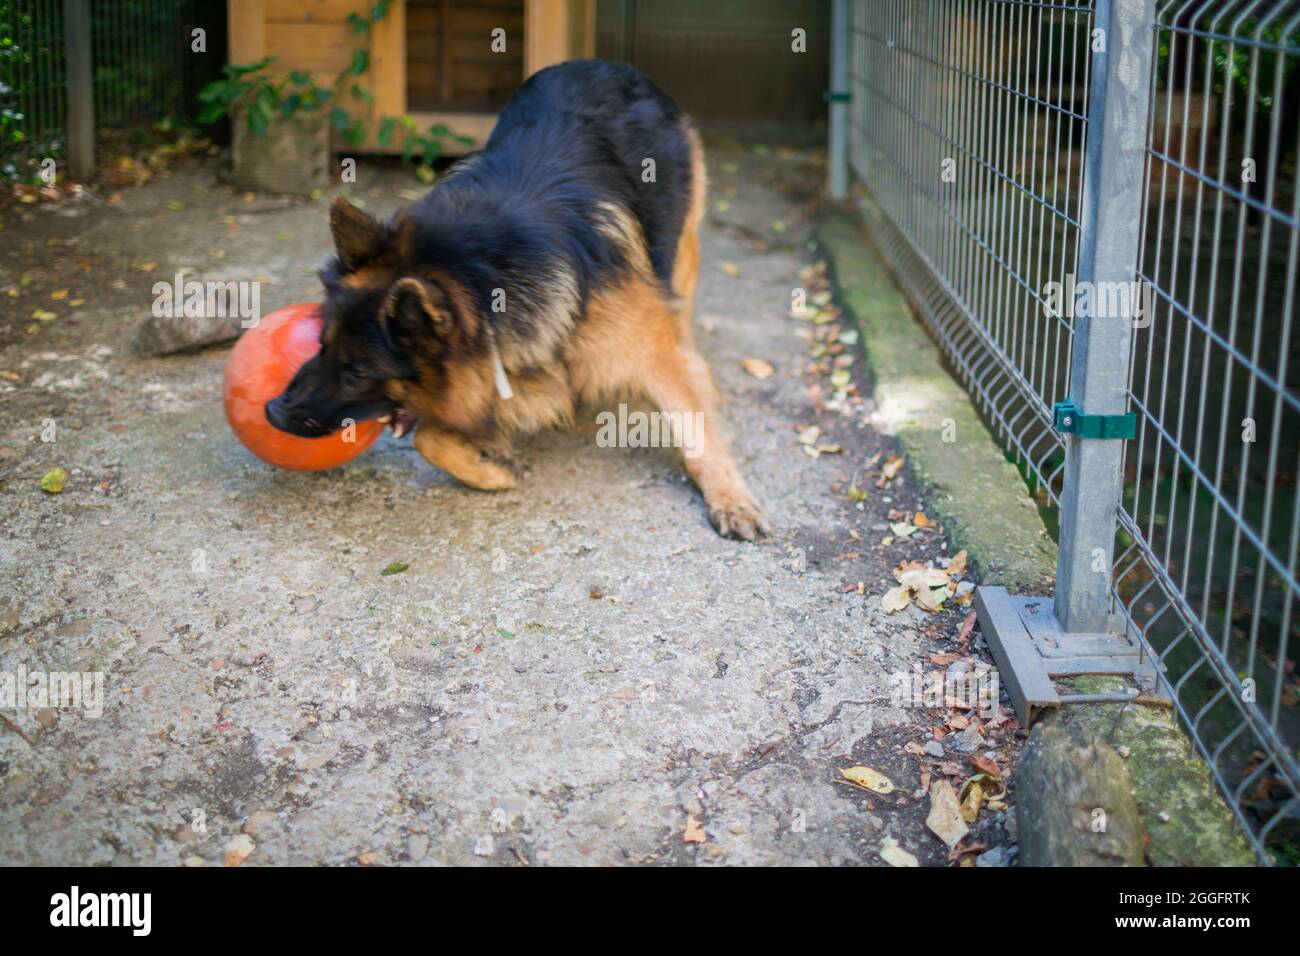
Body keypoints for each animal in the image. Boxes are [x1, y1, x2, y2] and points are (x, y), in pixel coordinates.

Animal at [267, 57, 764, 538]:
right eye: (320, 346)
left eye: (357, 373)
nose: (272, 411)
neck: (477, 273)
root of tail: (606, 64)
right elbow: (431, 438)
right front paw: (492, 467)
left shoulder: (649, 354)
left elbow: (695, 425)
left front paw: (730, 498)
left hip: (679, 245)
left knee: (680, 314)